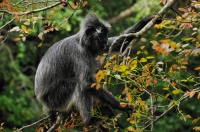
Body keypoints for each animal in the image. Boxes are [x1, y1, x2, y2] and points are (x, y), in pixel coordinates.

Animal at [34, 12, 162, 126]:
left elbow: (116, 44)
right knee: (79, 86)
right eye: (102, 35)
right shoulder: (79, 52)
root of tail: (44, 103)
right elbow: (86, 84)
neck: (82, 42)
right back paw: (89, 120)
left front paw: (147, 20)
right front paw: (120, 105)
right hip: (56, 99)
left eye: (106, 35)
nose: (105, 40)